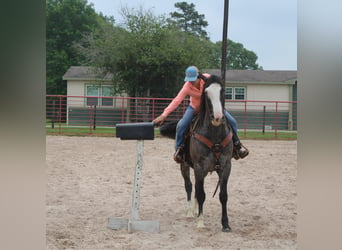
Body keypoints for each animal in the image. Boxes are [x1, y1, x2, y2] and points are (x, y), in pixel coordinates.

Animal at [159, 74, 234, 232]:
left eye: (223, 91)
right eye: (206, 93)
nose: (217, 117)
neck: (214, 135)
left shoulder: (226, 166)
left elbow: (223, 195)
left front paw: (225, 224)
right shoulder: (199, 167)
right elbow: (201, 194)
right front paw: (200, 222)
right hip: (184, 166)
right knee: (189, 186)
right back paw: (189, 212)